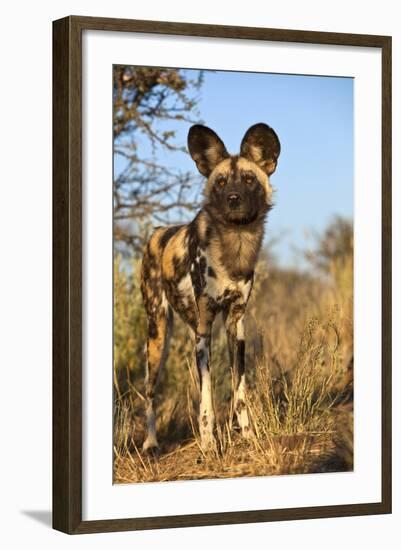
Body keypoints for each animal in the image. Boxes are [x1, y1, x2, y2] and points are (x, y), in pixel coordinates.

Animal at [139, 123, 280, 454]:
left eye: (249, 179)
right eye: (221, 182)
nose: (233, 198)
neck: (234, 246)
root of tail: (157, 232)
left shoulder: (235, 325)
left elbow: (239, 393)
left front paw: (248, 436)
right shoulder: (205, 330)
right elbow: (207, 400)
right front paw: (208, 444)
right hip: (158, 334)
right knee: (150, 391)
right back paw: (151, 444)